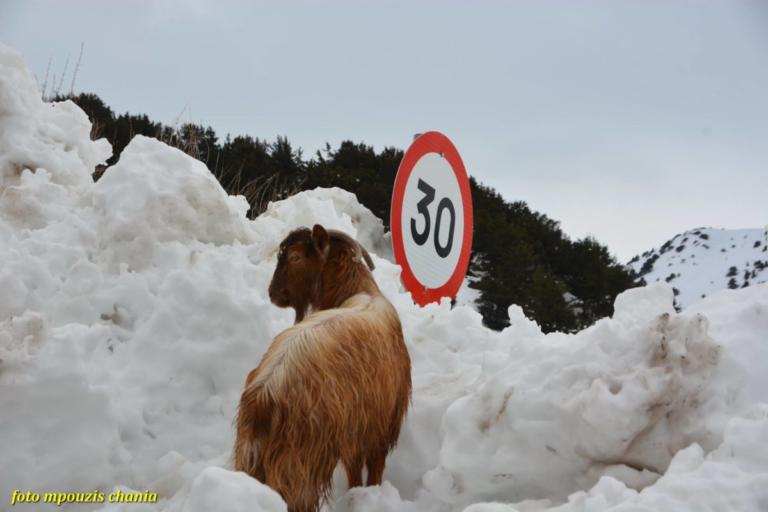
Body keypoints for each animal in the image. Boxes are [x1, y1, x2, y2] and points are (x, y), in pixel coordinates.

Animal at [236, 224, 412, 512]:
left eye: (296, 257)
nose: (272, 294)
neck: (361, 292)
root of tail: (264, 396)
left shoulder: (358, 432)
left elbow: (355, 474)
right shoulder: (380, 427)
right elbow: (371, 472)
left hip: (251, 458)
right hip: (300, 466)